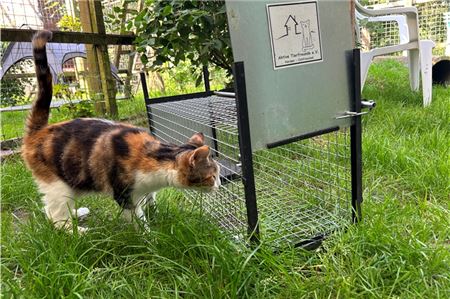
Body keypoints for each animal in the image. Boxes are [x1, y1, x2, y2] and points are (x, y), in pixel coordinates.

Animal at [22, 30, 222, 232]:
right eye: (212, 176)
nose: (220, 185)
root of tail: (39, 130)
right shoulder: (124, 194)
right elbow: (138, 219)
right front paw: (150, 235)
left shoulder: (147, 190)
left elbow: (151, 199)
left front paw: (155, 213)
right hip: (58, 185)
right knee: (56, 215)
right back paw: (77, 232)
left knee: (48, 209)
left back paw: (78, 213)